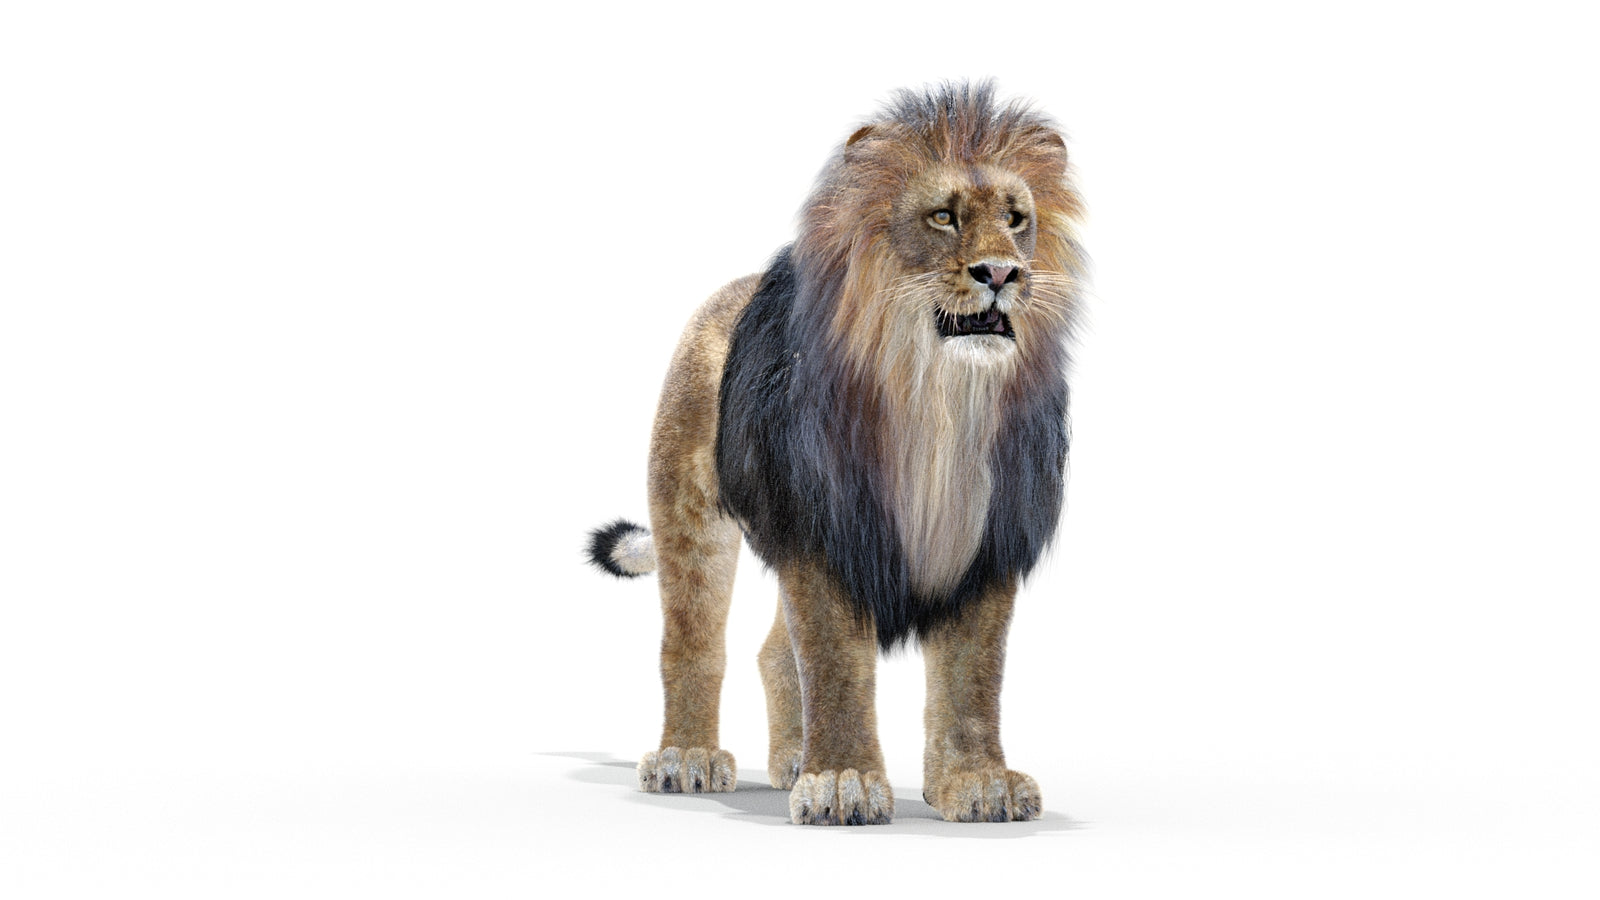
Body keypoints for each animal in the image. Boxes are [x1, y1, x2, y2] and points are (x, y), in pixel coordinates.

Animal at [586, 82, 1086, 825]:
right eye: (943, 217)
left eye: (1017, 218)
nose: (1003, 272)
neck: (938, 399)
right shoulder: (821, 528)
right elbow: (834, 661)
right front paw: (844, 781)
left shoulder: (989, 537)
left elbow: (973, 676)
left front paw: (977, 784)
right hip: (688, 509)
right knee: (691, 641)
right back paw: (687, 758)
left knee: (772, 652)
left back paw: (792, 759)